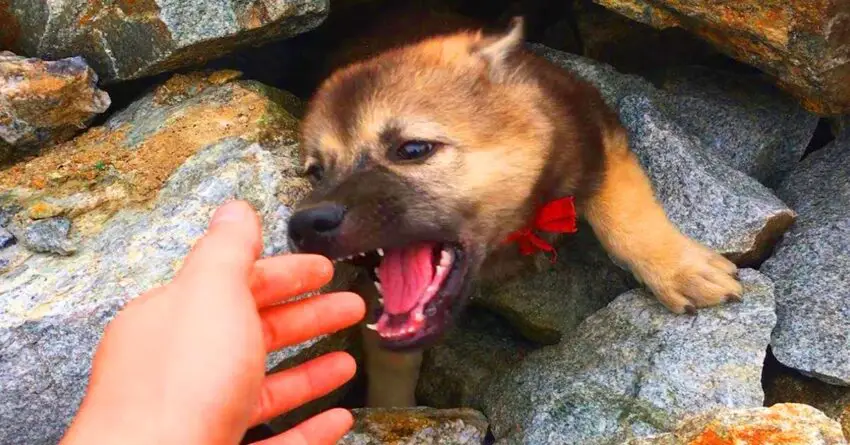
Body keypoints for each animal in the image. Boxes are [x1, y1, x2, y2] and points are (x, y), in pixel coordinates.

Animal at [284, 16, 736, 406]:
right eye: (316, 172)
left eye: (412, 149)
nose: (305, 225)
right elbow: (390, 361)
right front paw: (390, 413)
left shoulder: (595, 129)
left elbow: (625, 212)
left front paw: (681, 269)